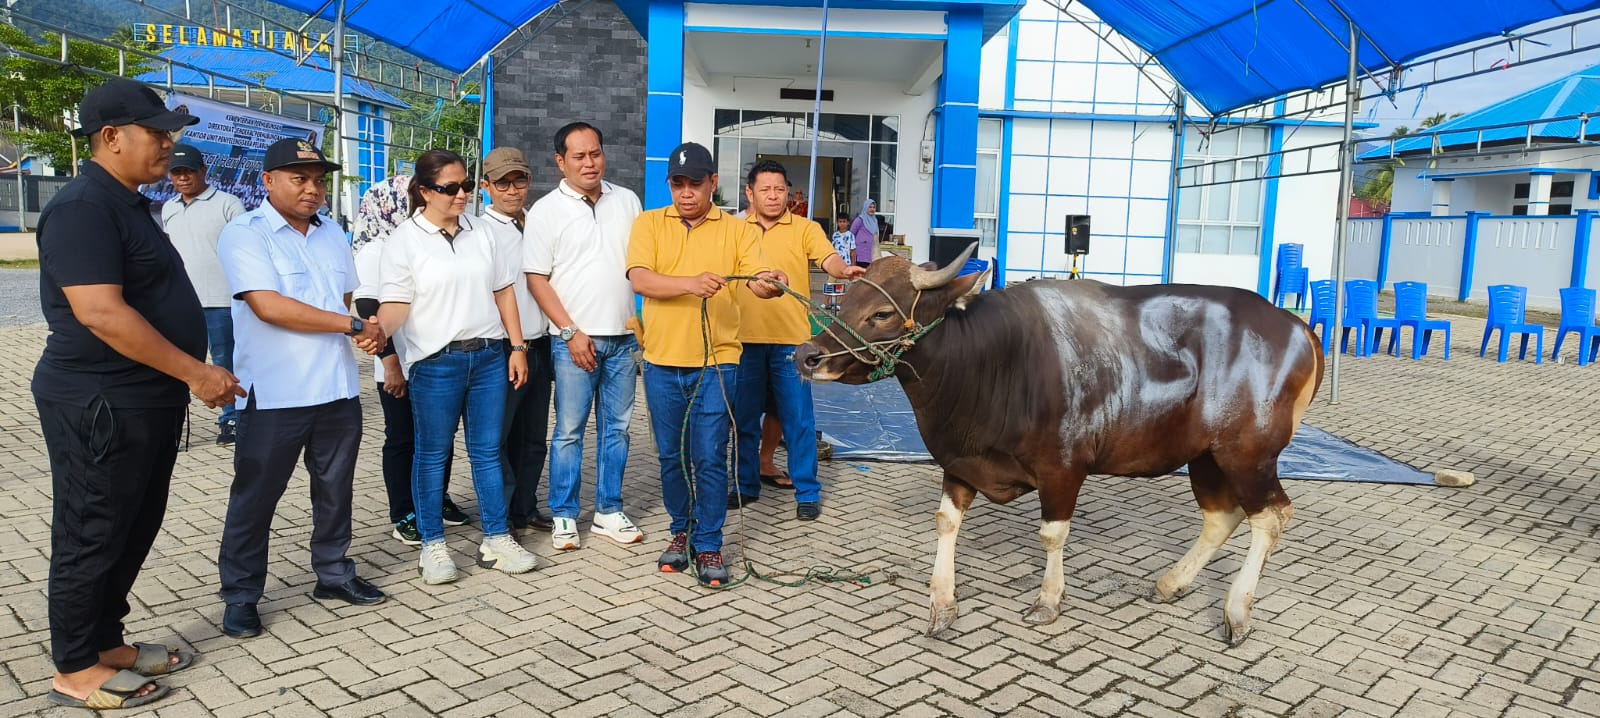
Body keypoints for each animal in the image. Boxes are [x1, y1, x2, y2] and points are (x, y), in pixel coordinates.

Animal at [793, 246, 1318, 642]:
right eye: (846, 298)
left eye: (882, 312)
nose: (807, 356)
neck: (992, 360)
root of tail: (1299, 329)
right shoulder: (961, 462)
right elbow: (946, 522)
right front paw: (942, 603)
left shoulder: (1062, 470)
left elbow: (1052, 534)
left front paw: (1048, 600)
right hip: (1206, 457)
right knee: (1222, 517)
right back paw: (1172, 583)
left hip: (1248, 455)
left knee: (1270, 517)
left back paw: (1236, 612)